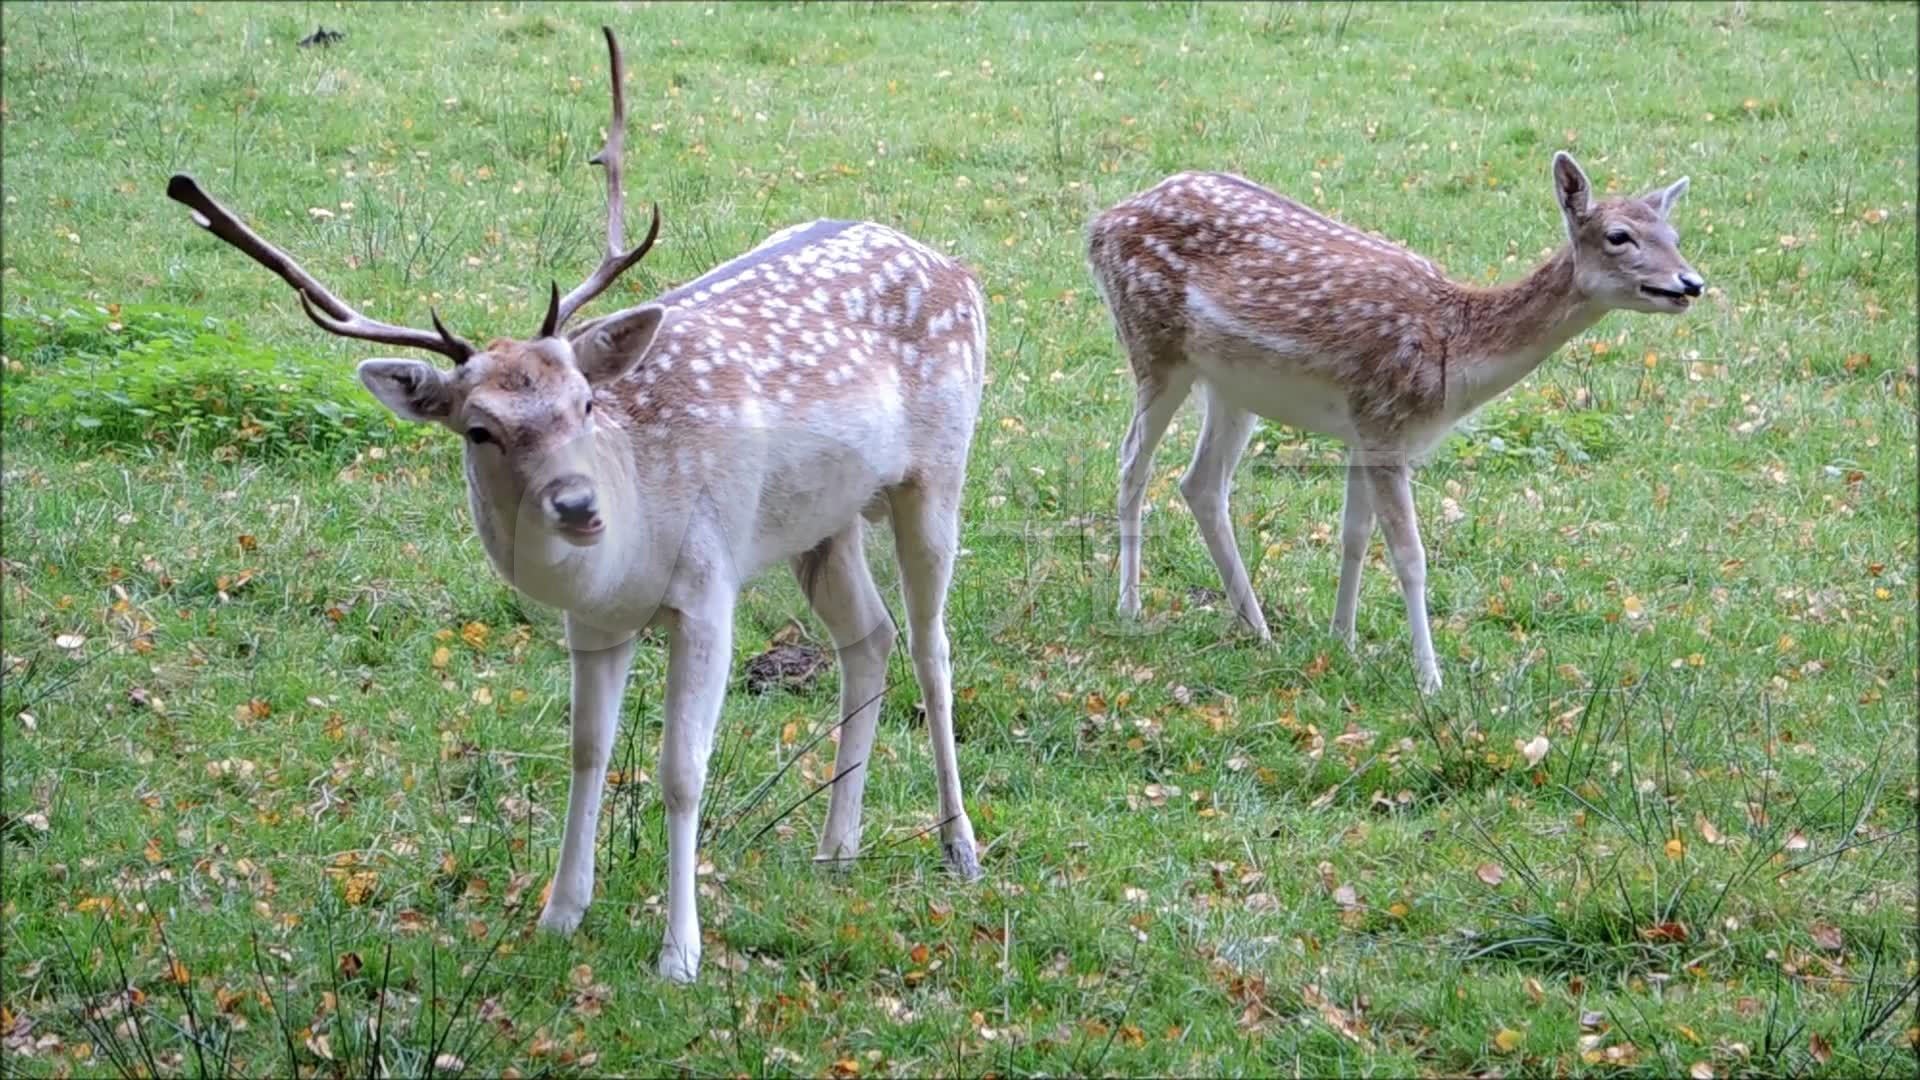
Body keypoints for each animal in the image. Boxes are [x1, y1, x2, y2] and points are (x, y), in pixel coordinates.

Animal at [167, 27, 990, 983]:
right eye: (478, 428)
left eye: (586, 403)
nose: (577, 506)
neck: (626, 551)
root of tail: (960, 269)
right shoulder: (592, 623)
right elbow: (586, 752)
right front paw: (560, 915)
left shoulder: (708, 585)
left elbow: (680, 770)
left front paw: (679, 955)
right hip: (819, 521)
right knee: (870, 638)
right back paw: (836, 848)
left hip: (937, 471)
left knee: (932, 645)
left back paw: (959, 846)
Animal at [1090, 151, 1704, 687]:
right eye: (1619, 236)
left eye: (1674, 237)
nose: (1691, 283)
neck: (1453, 357)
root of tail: (1098, 225)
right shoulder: (1385, 423)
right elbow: (1410, 556)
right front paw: (1430, 680)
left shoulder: (1365, 429)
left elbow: (1354, 536)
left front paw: (1342, 640)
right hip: (1153, 346)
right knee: (1132, 463)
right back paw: (1130, 607)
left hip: (1232, 387)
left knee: (1201, 483)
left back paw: (1257, 627)